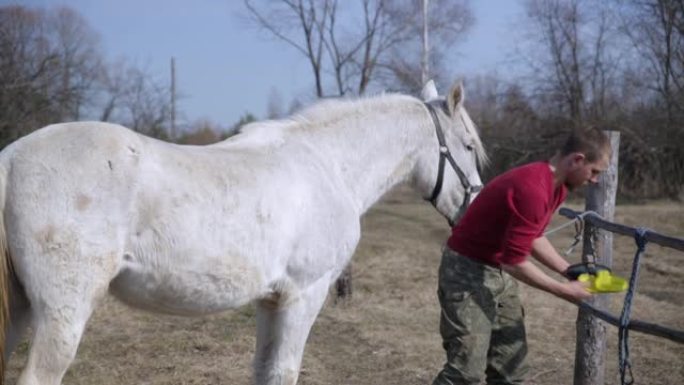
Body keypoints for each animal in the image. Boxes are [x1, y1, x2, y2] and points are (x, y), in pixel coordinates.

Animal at [0, 79, 486, 382]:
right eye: (467, 146)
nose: (474, 209)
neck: (327, 164)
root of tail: (11, 158)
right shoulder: (305, 294)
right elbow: (285, 371)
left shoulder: (271, 301)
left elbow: (264, 372)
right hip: (62, 315)